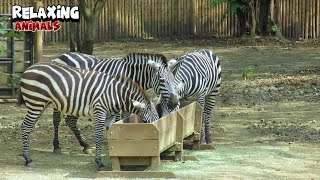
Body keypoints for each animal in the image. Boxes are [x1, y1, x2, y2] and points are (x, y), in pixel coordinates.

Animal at [18, 62, 159, 171]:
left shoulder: (110, 116)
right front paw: (100, 162)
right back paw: (28, 159)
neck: (116, 95)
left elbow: (111, 134)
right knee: (25, 127)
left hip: (41, 104)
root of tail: (29, 68)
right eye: (144, 121)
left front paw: (116, 155)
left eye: (157, 120)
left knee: (28, 127)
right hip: (36, 102)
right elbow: (99, 136)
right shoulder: (99, 111)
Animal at [50, 52, 180, 155]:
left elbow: (126, 119)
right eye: (162, 80)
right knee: (57, 119)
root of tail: (62, 55)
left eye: (173, 78)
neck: (131, 75)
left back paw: (85, 145)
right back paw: (57, 146)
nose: (174, 102)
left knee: (70, 120)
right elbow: (116, 120)